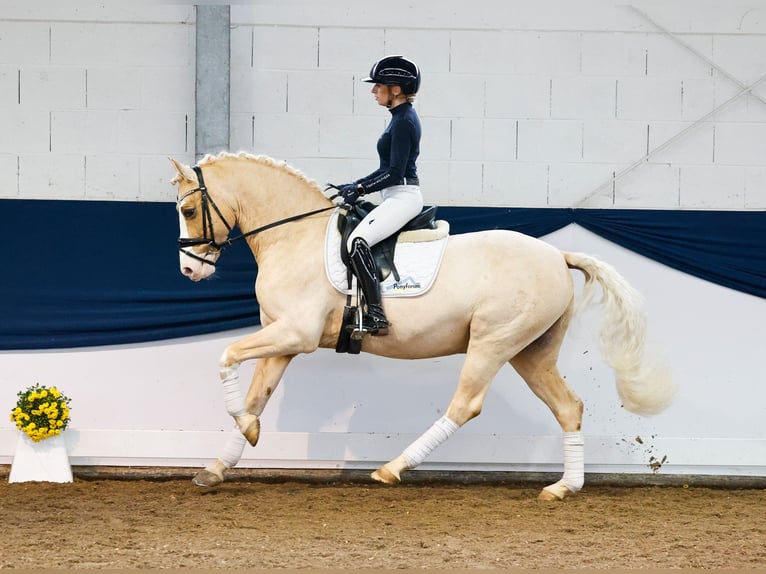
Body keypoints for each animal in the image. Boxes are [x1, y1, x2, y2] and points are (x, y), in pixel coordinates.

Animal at [171, 152, 676, 500]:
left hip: (493, 342)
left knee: (466, 405)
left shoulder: (296, 334)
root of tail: (557, 255)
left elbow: (226, 357)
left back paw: (392, 468)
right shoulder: (283, 340)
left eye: (189, 211)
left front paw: (246, 432)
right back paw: (562, 488)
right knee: (569, 407)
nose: (190, 272)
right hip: (531, 352)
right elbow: (256, 396)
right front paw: (219, 464)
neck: (294, 236)